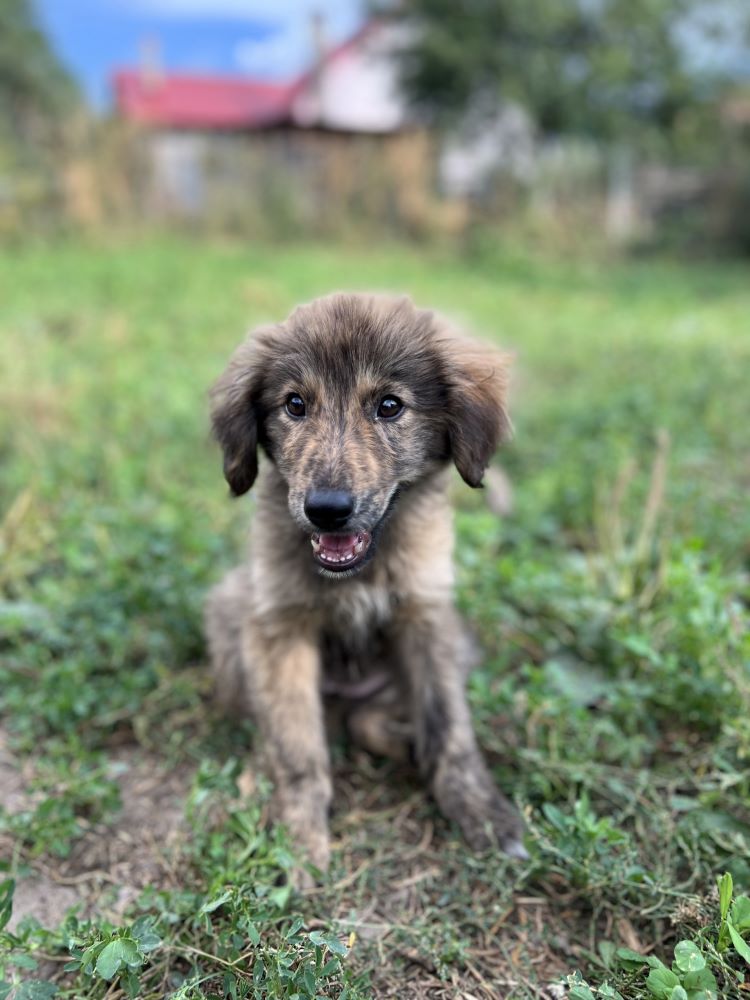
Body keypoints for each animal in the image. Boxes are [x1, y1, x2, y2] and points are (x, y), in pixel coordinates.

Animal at [203, 292, 524, 884]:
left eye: (390, 406)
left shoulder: (426, 615)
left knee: (365, 719)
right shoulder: (279, 628)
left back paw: (403, 740)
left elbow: (449, 726)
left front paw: (481, 812)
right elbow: (298, 747)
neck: (358, 572)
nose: (327, 510)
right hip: (231, 611)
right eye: (295, 404)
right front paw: (299, 837)